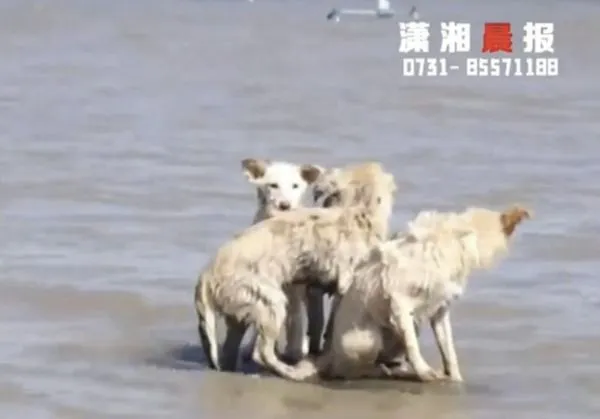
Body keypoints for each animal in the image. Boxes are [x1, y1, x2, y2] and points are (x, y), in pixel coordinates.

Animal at [195, 162, 396, 382]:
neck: (357, 209)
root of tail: (206, 276)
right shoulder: (346, 282)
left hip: (240, 310)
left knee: (230, 351)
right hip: (270, 301)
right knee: (261, 353)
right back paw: (290, 371)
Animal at [302, 205, 532, 382]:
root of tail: (328, 355)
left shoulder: (440, 310)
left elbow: (448, 350)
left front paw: (455, 378)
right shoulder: (399, 301)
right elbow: (413, 346)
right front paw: (425, 372)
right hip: (368, 338)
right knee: (351, 370)